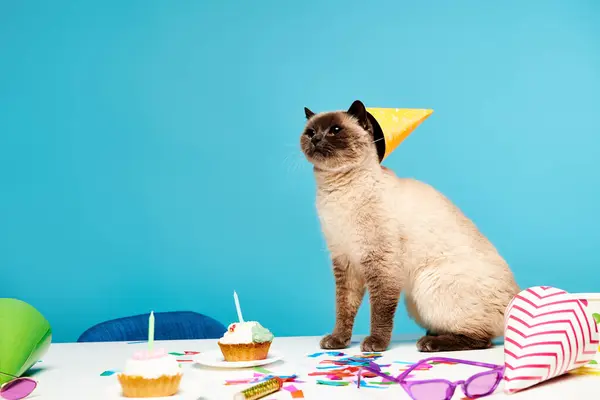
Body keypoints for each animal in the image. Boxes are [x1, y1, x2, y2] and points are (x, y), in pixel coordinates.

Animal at [300, 101, 520, 354]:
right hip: (414, 300)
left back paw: (429, 342)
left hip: (428, 284)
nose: (316, 140)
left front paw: (375, 344)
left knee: (482, 339)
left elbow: (380, 311)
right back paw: (432, 333)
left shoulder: (380, 263)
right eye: (311, 132)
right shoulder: (345, 261)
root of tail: (514, 297)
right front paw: (338, 340)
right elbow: (344, 308)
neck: (336, 190)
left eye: (335, 130)